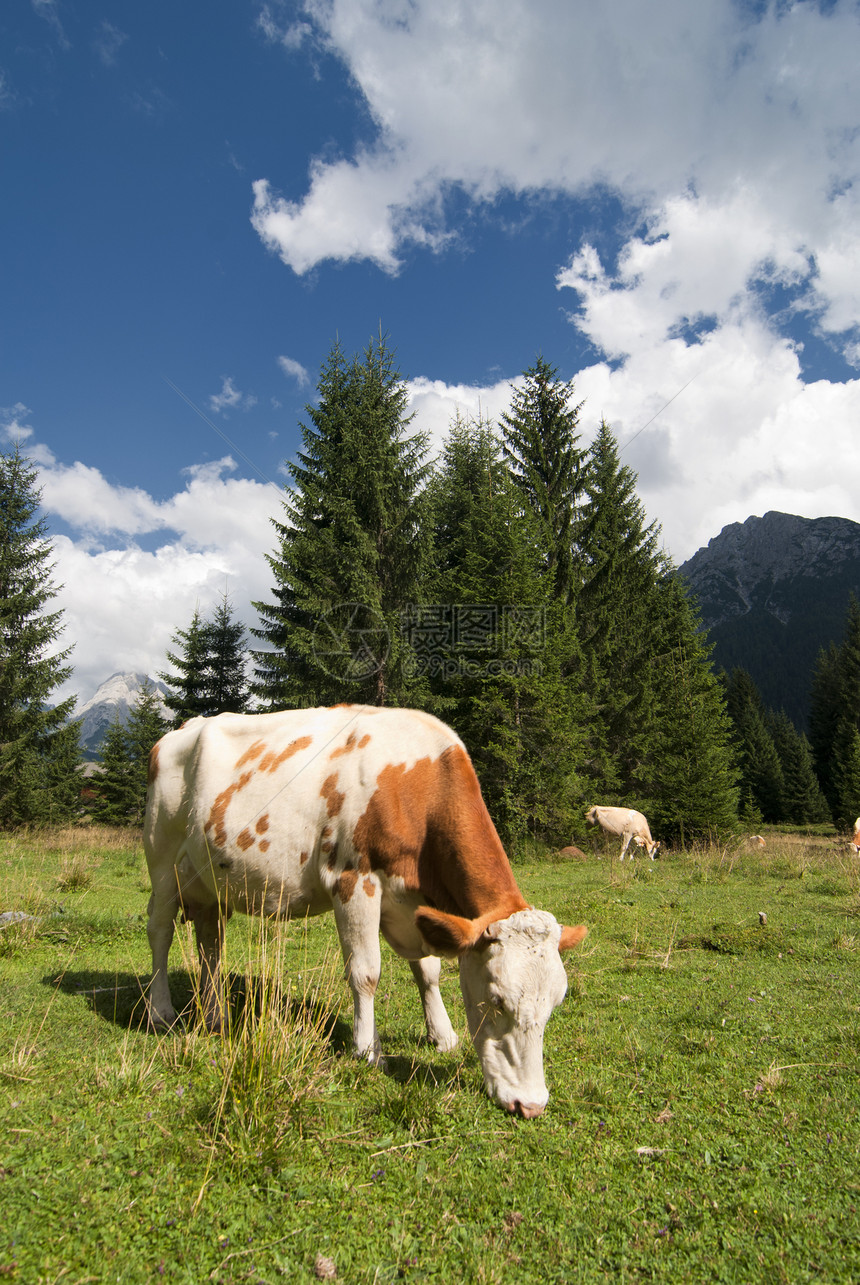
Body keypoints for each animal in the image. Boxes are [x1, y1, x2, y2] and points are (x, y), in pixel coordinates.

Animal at [147, 709, 591, 1120]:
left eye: (556, 1002)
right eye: (497, 1001)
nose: (530, 1104)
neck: (415, 785)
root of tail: (181, 730)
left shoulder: (415, 902)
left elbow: (428, 970)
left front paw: (443, 1035)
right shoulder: (354, 880)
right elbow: (366, 972)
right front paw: (367, 1049)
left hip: (210, 884)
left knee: (210, 945)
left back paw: (215, 1016)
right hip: (163, 862)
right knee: (160, 933)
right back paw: (161, 1012)